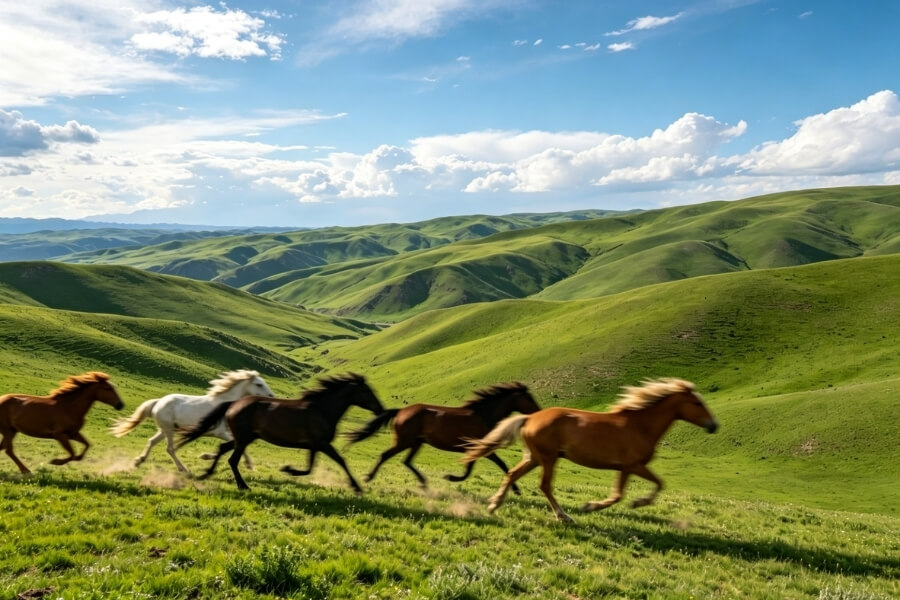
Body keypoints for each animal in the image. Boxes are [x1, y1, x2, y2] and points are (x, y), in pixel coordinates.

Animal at [111, 369, 274, 476]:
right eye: (259, 384)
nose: (272, 396)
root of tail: (158, 402)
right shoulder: (221, 432)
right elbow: (237, 445)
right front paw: (249, 464)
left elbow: (236, 445)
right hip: (168, 430)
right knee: (170, 449)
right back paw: (184, 470)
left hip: (165, 430)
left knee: (152, 441)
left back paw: (138, 461)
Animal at [178, 373, 384, 492]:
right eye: (366, 391)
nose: (380, 409)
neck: (322, 409)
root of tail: (234, 403)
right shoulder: (322, 444)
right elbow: (340, 460)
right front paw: (357, 487)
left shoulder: (314, 445)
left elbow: (310, 468)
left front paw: (288, 469)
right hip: (243, 439)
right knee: (232, 460)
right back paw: (243, 486)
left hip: (245, 437)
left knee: (223, 448)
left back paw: (206, 474)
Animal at [346, 382, 540, 492]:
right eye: (529, 398)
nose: (538, 412)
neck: (484, 415)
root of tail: (401, 411)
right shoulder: (480, 447)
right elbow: (498, 465)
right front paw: (516, 489)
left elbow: (474, 467)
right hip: (405, 441)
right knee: (385, 455)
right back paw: (368, 477)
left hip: (416, 442)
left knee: (406, 461)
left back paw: (423, 482)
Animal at [463, 378, 718, 523]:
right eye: (697, 403)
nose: (714, 425)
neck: (641, 425)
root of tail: (529, 418)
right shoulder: (632, 466)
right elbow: (623, 494)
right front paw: (593, 506)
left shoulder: (628, 468)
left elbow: (653, 485)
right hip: (548, 458)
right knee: (544, 485)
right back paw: (564, 516)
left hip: (535, 457)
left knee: (511, 474)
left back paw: (494, 505)